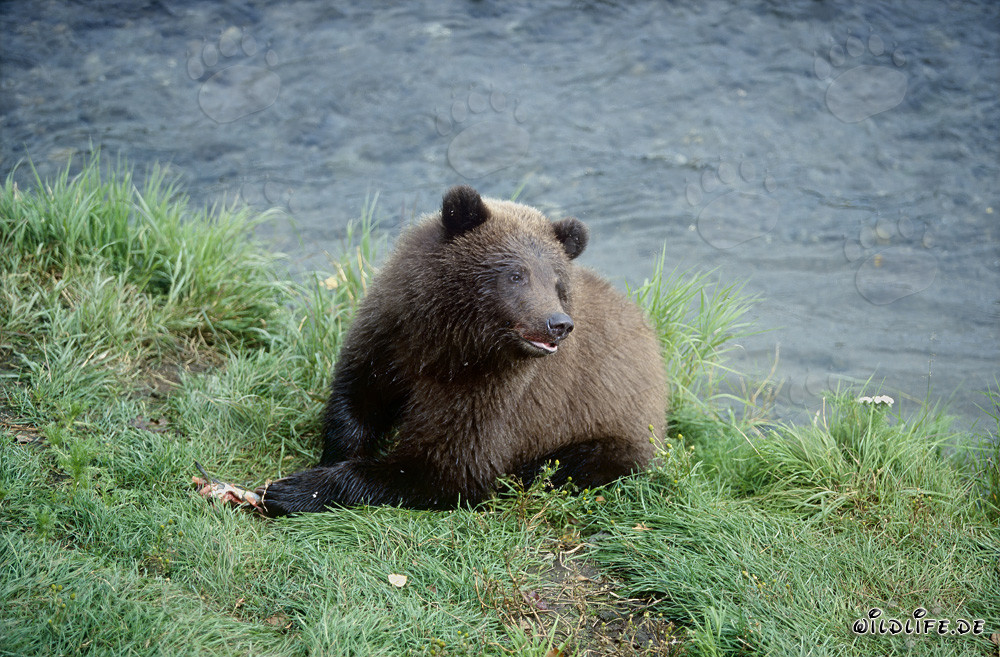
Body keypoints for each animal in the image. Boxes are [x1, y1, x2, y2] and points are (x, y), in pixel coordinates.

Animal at [254, 185, 667, 516]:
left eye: (557, 282)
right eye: (516, 274)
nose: (558, 323)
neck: (452, 340)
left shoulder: (492, 392)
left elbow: (445, 466)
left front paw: (293, 490)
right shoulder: (392, 336)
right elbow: (358, 396)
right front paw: (334, 454)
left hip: (614, 428)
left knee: (578, 464)